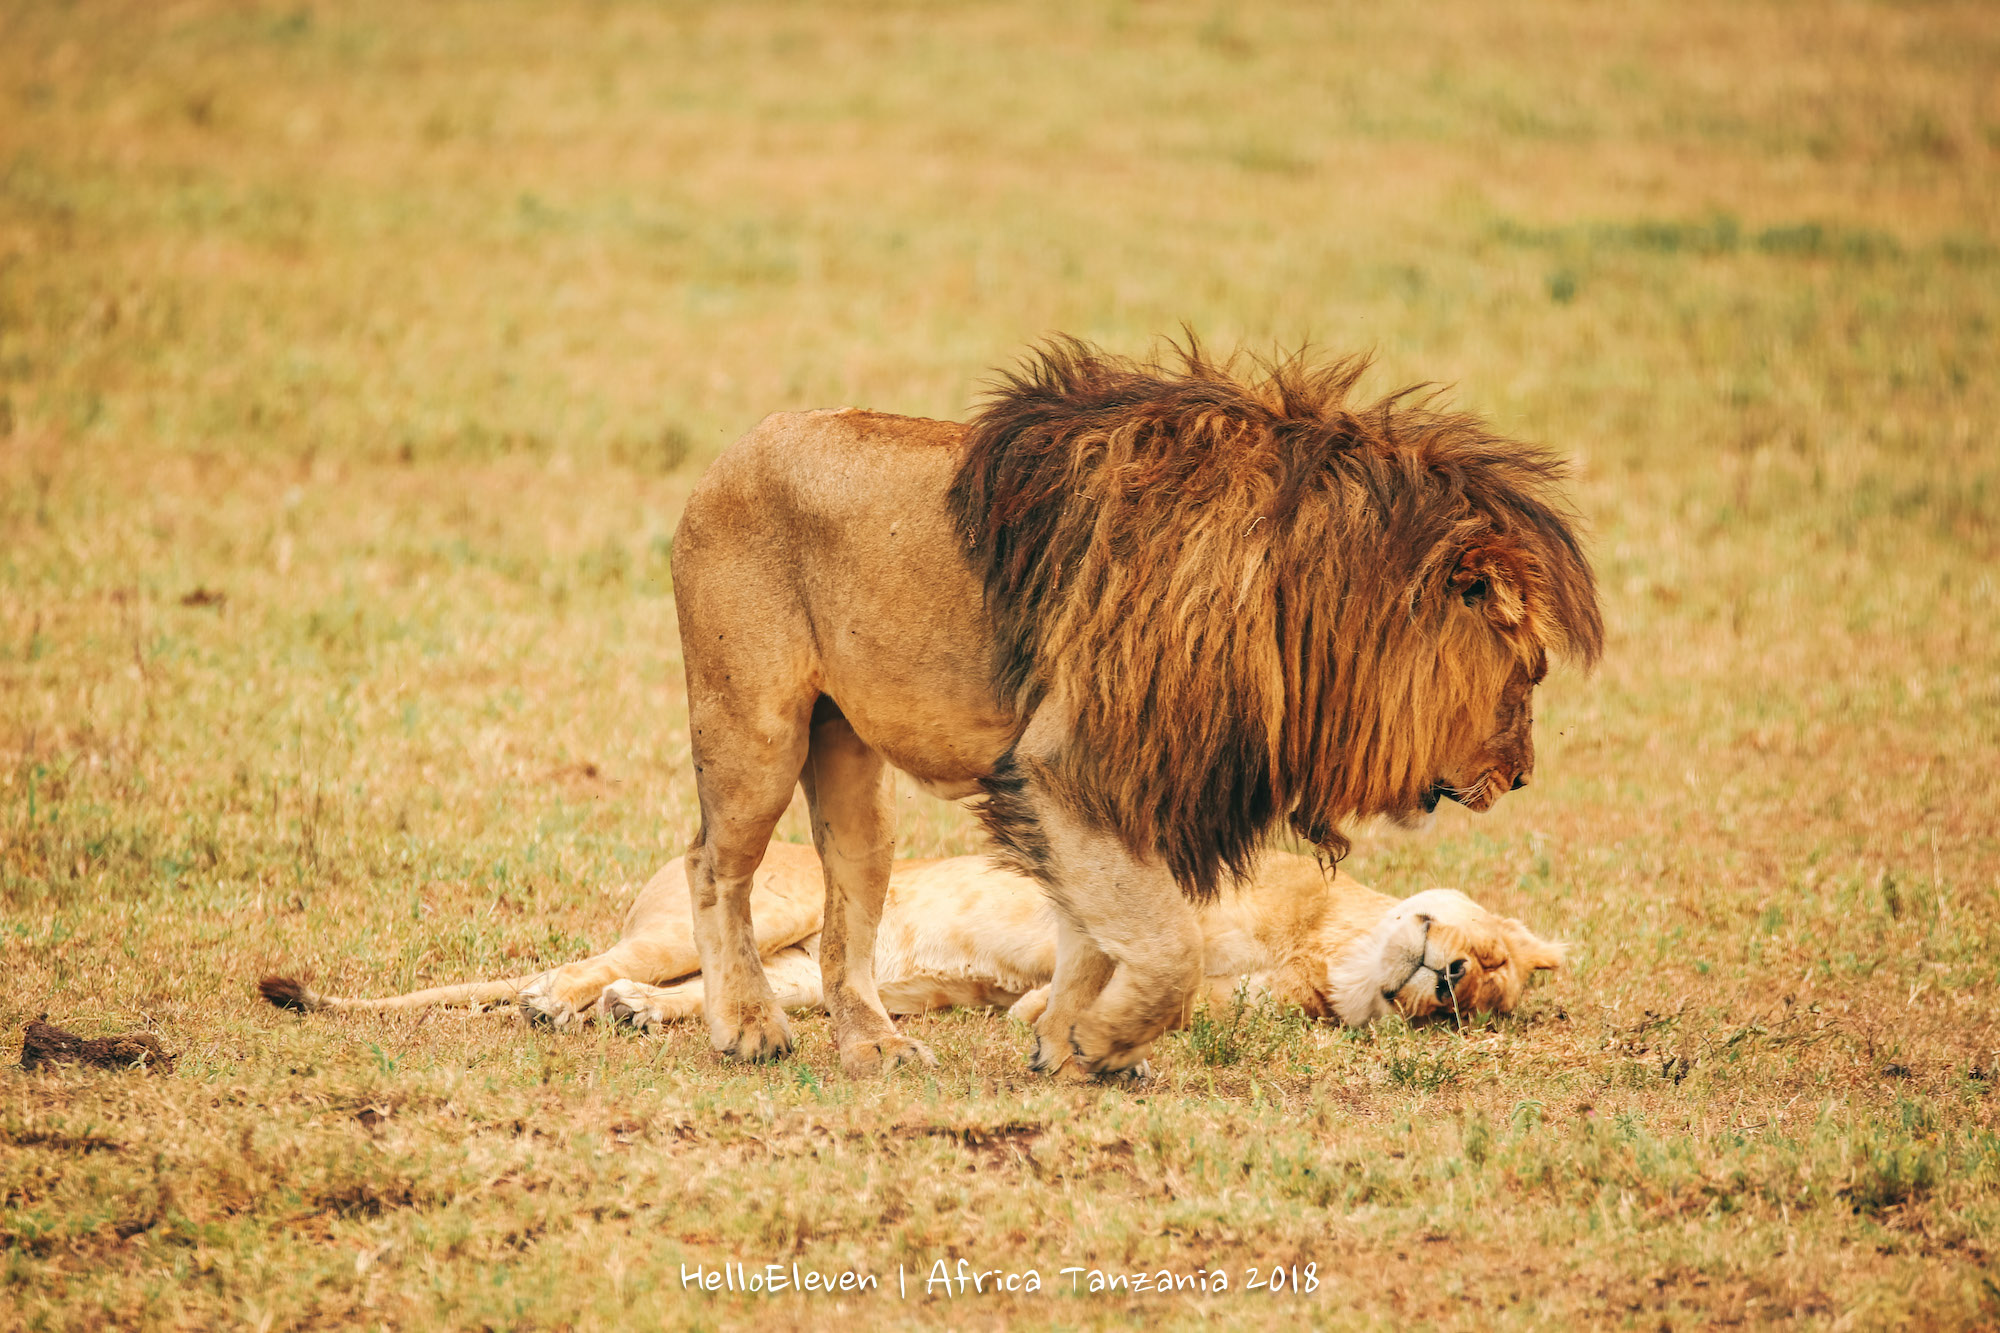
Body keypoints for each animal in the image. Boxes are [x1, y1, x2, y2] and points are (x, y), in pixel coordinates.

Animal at [672, 334, 1592, 1080]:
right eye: (1531, 672)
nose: (1519, 777)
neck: (1305, 598)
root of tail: (735, 449)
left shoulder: (1126, 784)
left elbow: (1094, 937)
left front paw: (1070, 1046)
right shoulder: (1065, 765)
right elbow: (1169, 945)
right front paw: (1104, 1041)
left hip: (859, 791)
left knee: (845, 919)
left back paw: (875, 1044)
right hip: (757, 733)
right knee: (712, 865)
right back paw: (748, 1028)